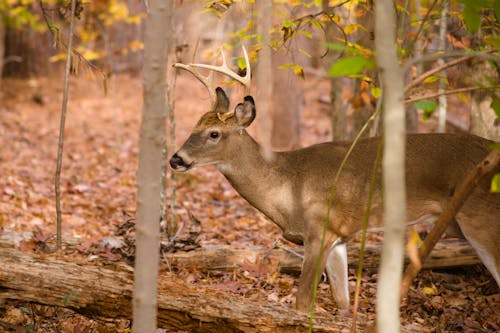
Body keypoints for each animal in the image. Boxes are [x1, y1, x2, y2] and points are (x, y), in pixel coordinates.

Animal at [169, 46, 500, 312]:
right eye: (195, 125)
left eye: (214, 134)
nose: (176, 159)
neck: (287, 185)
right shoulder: (339, 236)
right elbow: (341, 302)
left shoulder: (319, 229)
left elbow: (302, 303)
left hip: (482, 217)